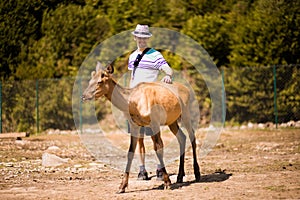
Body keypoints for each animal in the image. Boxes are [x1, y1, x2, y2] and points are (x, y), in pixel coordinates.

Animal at [81, 62, 200, 194]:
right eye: (90, 80)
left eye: (100, 81)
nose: (84, 96)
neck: (133, 105)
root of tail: (188, 89)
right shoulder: (134, 125)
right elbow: (130, 152)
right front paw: (122, 186)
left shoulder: (154, 122)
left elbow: (158, 148)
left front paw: (167, 182)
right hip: (172, 121)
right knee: (182, 137)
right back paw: (180, 176)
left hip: (186, 113)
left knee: (192, 136)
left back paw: (197, 173)